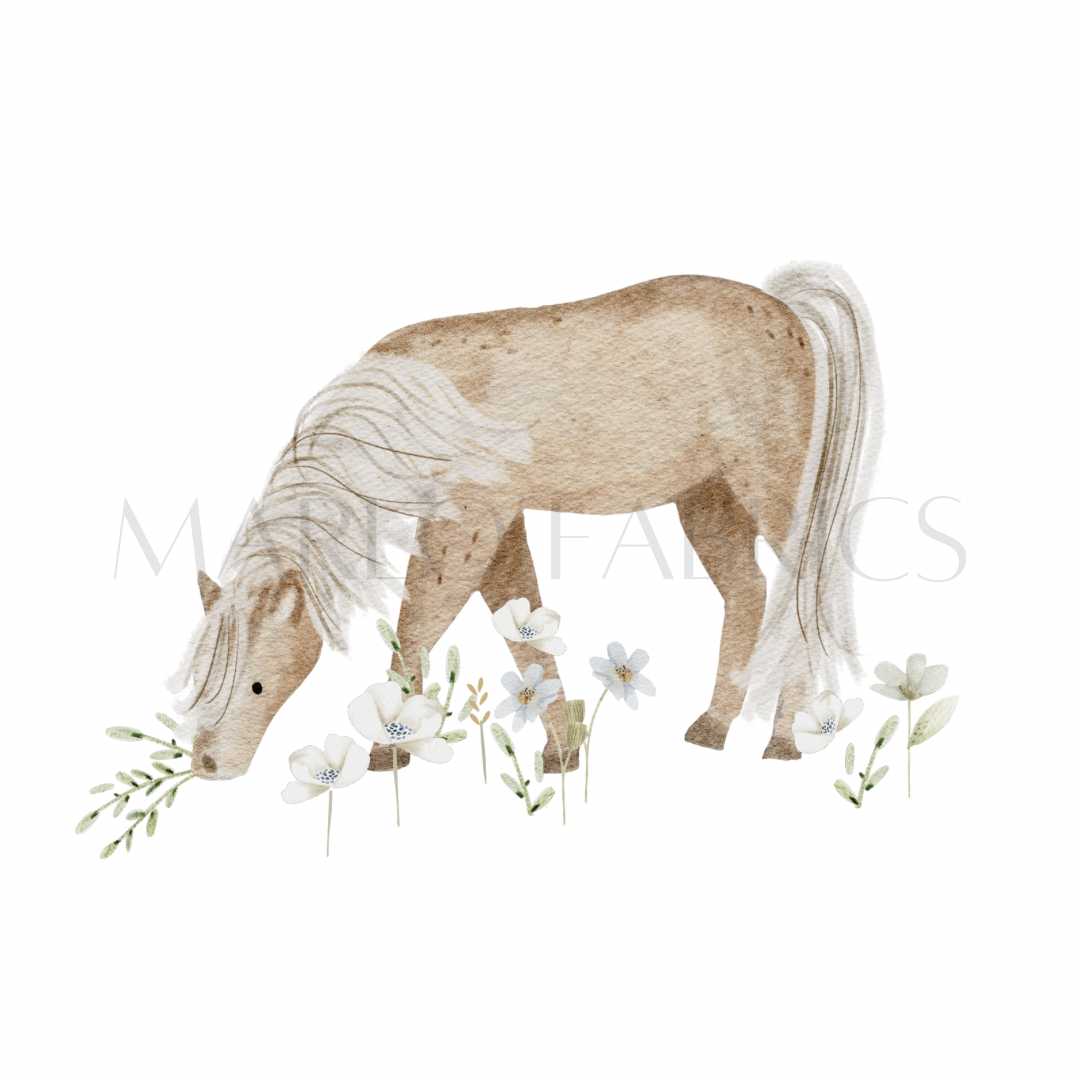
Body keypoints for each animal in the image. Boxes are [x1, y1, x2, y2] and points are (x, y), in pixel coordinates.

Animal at [168, 262, 881, 780]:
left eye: (257, 685)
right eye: (201, 676)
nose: (206, 765)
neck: (410, 408)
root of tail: (787, 311)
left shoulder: (465, 532)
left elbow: (417, 628)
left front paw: (389, 749)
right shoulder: (499, 528)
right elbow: (526, 629)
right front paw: (562, 753)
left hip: (771, 492)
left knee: (803, 591)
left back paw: (784, 740)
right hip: (708, 500)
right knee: (749, 592)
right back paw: (713, 727)